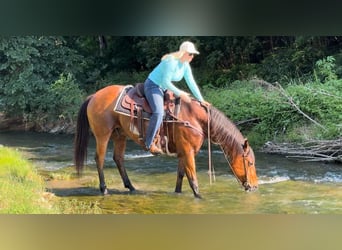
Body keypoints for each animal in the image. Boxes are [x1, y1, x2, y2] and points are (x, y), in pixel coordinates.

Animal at [74, 85, 256, 198]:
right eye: (250, 163)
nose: (254, 187)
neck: (195, 117)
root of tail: (94, 95)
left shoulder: (183, 152)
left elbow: (181, 175)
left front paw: (177, 193)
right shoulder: (188, 152)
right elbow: (192, 178)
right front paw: (199, 197)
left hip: (120, 135)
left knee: (118, 159)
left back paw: (131, 187)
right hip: (103, 135)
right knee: (99, 159)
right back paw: (104, 189)